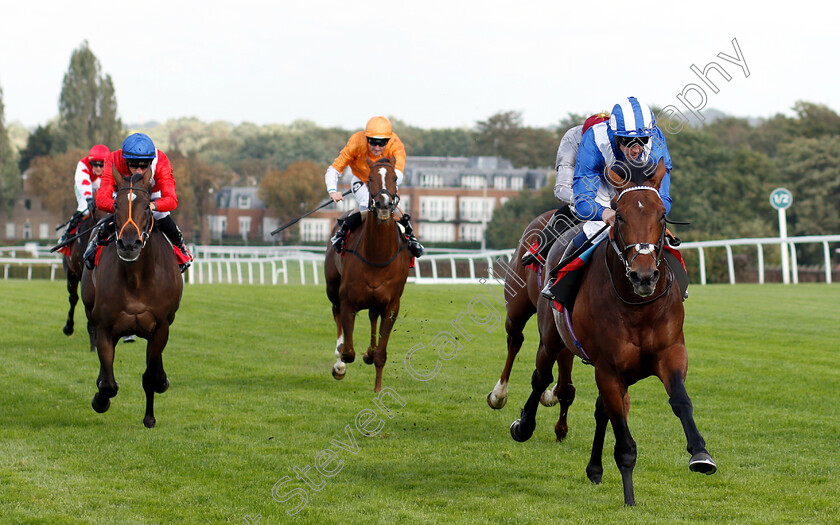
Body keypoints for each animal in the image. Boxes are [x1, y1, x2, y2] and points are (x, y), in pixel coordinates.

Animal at [81, 168, 183, 426]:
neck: (136, 278)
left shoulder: (160, 326)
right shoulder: (106, 326)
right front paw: (100, 400)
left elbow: (151, 376)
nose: (129, 244)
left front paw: (150, 417)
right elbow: (108, 384)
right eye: (116, 205)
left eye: (147, 206)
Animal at [324, 158, 410, 390]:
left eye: (395, 178)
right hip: (332, 288)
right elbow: (348, 351)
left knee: (372, 316)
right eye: (370, 178)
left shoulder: (392, 305)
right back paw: (339, 364)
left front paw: (378, 388)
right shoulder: (348, 302)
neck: (377, 257)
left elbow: (381, 353)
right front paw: (340, 364)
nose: (383, 204)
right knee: (336, 315)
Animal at [508, 159, 720, 504]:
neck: (639, 307)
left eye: (661, 214)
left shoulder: (671, 353)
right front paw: (629, 497)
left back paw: (594, 469)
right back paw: (523, 425)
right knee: (541, 376)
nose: (644, 275)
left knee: (599, 408)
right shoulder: (608, 369)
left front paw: (700, 454)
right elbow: (624, 441)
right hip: (551, 337)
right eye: (620, 216)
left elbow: (680, 401)